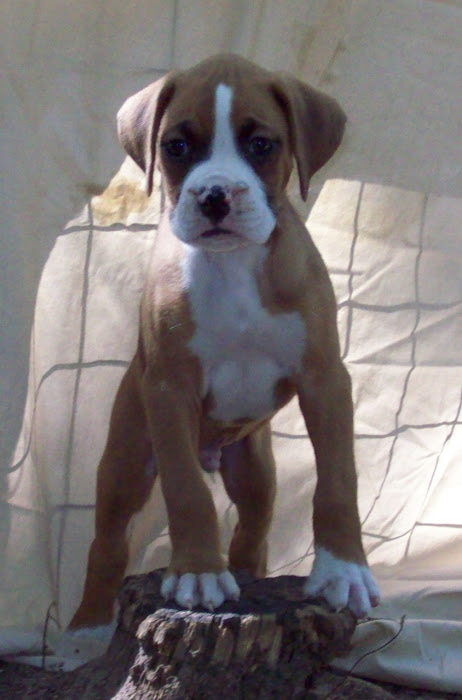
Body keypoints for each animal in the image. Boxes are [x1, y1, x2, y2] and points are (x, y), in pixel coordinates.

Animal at [68, 54, 378, 636]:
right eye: (176, 146)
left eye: (261, 144)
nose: (214, 195)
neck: (234, 263)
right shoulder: (169, 391)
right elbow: (187, 490)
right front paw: (197, 573)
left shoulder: (325, 380)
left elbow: (337, 479)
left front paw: (344, 571)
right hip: (125, 463)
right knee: (107, 543)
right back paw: (87, 629)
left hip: (255, 471)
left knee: (252, 533)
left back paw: (251, 576)